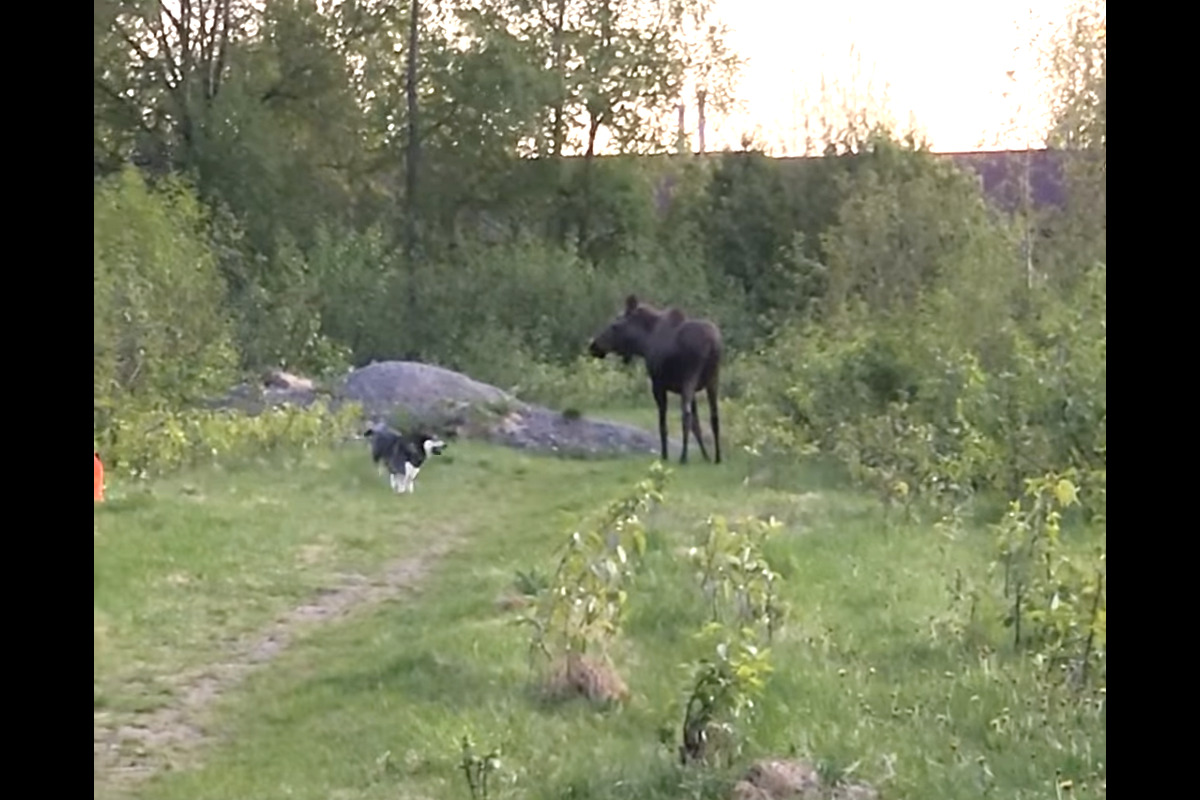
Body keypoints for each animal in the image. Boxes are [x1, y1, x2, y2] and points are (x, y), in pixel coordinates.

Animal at [588, 297, 720, 465]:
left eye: (614, 325)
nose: (593, 346)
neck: (643, 344)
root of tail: (712, 344)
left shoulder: (658, 384)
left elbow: (663, 424)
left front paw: (664, 455)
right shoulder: (693, 390)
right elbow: (697, 425)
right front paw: (706, 456)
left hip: (690, 377)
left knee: (686, 415)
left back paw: (683, 457)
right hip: (713, 379)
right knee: (714, 416)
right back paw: (718, 457)